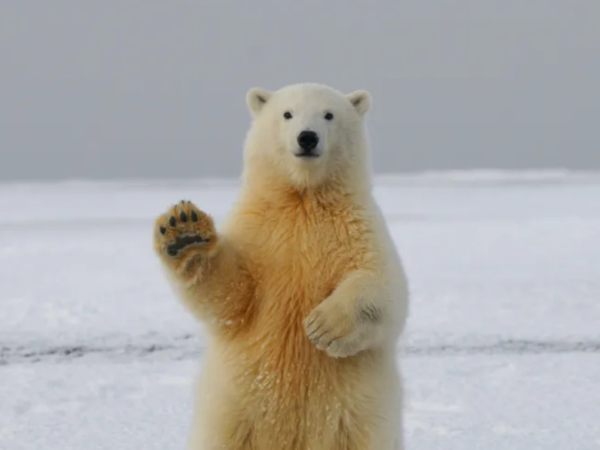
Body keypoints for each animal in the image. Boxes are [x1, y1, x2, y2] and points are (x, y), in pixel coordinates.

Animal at [152, 82, 410, 448]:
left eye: (328, 115)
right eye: (287, 114)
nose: (307, 137)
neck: (303, 199)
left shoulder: (357, 228)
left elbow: (383, 286)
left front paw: (322, 326)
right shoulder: (258, 233)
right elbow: (231, 295)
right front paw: (184, 232)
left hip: (358, 420)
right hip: (231, 414)